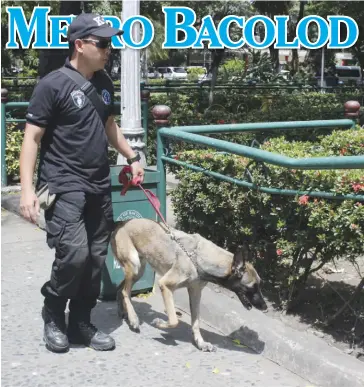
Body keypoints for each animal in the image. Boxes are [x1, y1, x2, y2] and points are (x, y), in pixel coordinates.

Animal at [109, 218, 266, 352]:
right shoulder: (165, 285)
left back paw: (124, 313)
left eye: (259, 285)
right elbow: (174, 320)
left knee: (120, 289)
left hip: (138, 271)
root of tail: (121, 223)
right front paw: (160, 323)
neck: (197, 258)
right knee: (125, 292)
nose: (265, 307)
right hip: (135, 266)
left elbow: (195, 322)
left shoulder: (195, 292)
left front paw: (200, 343)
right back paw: (134, 319)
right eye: (253, 287)